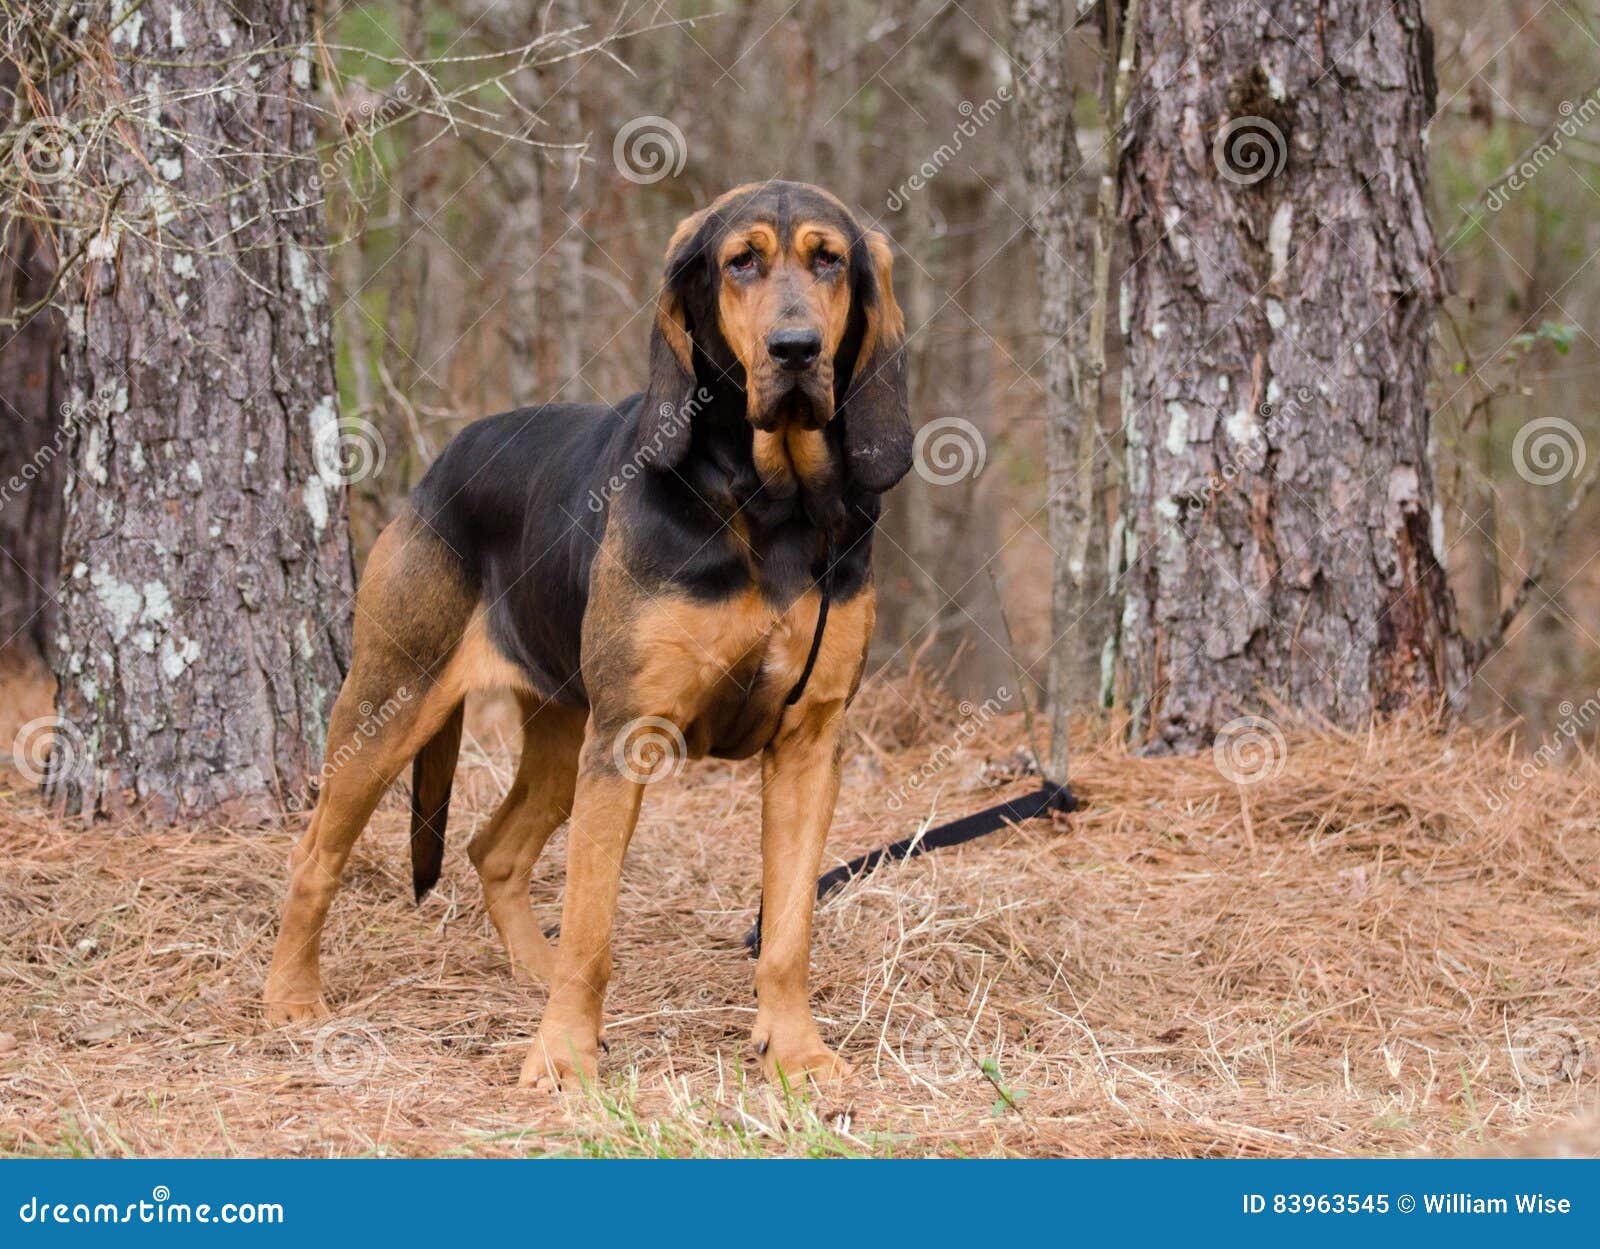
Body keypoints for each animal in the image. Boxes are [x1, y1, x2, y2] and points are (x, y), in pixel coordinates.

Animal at [265, 179, 915, 1087]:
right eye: (739, 262)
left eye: (829, 260)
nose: (795, 348)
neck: (772, 503)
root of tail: (442, 466)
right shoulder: (626, 737)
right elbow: (591, 929)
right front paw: (566, 1056)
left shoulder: (810, 744)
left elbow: (787, 934)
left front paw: (795, 1052)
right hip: (391, 704)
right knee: (314, 855)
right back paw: (291, 999)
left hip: (558, 734)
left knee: (493, 850)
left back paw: (528, 972)